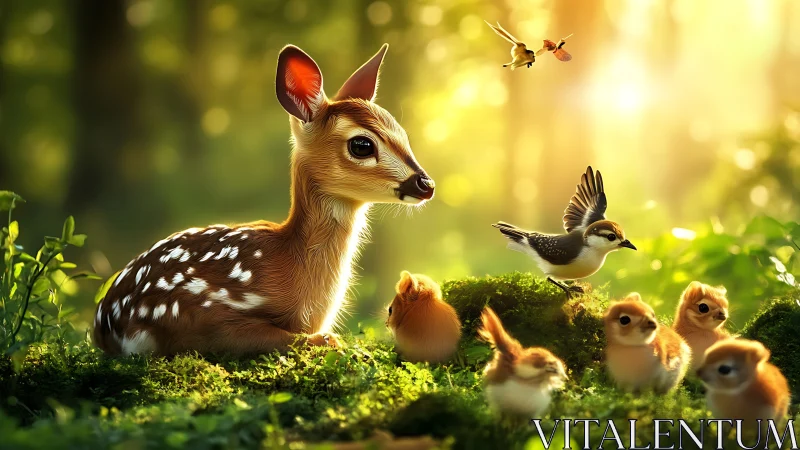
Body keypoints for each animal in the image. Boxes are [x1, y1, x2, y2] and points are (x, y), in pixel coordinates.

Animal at [92, 43, 435, 356]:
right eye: (362, 145)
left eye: (402, 133)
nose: (426, 184)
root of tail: (101, 327)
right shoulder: (195, 312)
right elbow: (299, 338)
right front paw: (332, 342)